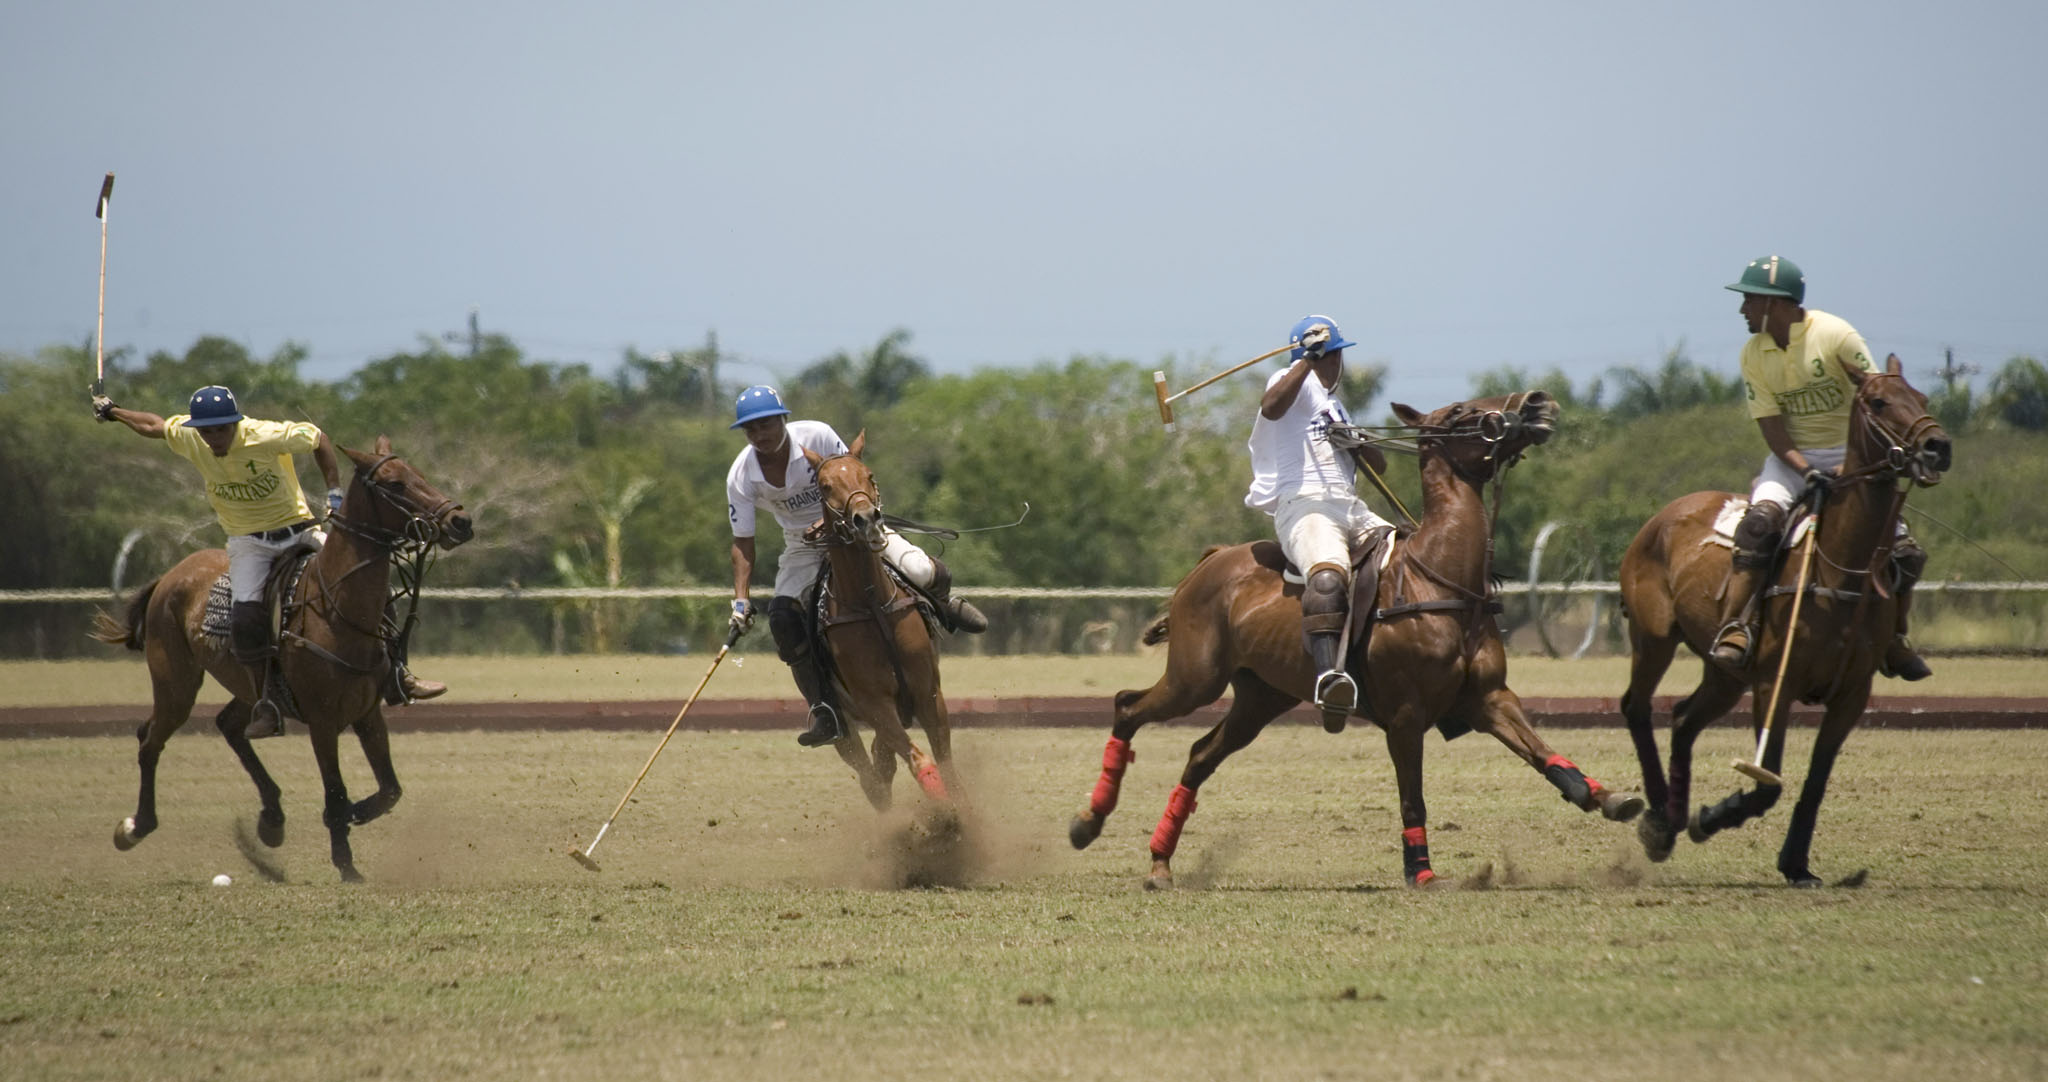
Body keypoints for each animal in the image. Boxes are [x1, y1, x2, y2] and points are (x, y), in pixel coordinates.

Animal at [92, 434, 471, 885]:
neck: (337, 608)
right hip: (175, 681)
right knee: (150, 738)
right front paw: (347, 863)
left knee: (230, 725)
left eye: (420, 474)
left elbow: (390, 790)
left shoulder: (368, 713)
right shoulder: (323, 720)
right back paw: (134, 827)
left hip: (250, 688)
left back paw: (271, 819)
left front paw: (355, 817)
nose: (460, 522)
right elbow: (336, 792)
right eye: (394, 484)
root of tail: (169, 575)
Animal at [802, 434, 954, 807]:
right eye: (825, 486)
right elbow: (919, 760)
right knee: (870, 776)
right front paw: (947, 817)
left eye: (868, 475)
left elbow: (946, 764)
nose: (867, 518)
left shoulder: (928, 692)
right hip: (842, 721)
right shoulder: (875, 704)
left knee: (882, 762)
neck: (871, 603)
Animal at [1073, 389, 1646, 889]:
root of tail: (1210, 560)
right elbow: (1413, 796)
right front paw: (1422, 873)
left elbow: (1544, 753)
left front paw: (1612, 798)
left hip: (1260, 695)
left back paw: (1159, 864)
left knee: (1199, 754)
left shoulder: (1488, 698)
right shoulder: (1406, 714)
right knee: (1127, 707)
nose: (1536, 402)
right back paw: (1088, 822)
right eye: (1460, 411)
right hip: (1197, 677)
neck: (1439, 576)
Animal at [1613, 356, 1949, 889]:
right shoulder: (1776, 683)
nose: (1938, 447)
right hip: (1653, 637)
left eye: (1922, 398)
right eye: (1878, 402)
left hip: (1726, 673)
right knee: (1637, 706)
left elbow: (1815, 781)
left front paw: (1796, 864)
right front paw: (1712, 817)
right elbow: (1767, 779)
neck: (1841, 569)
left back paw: (1675, 812)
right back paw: (1661, 822)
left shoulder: (1852, 694)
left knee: (1684, 718)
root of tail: (1665, 514)